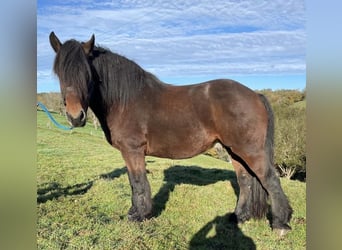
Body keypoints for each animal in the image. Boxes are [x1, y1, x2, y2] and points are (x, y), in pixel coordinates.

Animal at [49, 31, 292, 234]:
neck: (124, 101)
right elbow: (132, 181)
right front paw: (135, 212)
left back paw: (281, 224)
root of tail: (254, 94)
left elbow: (138, 182)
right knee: (246, 181)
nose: (76, 117)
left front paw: (140, 216)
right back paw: (239, 217)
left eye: (87, 74)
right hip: (234, 151)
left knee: (269, 179)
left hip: (250, 150)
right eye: (60, 73)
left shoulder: (133, 150)